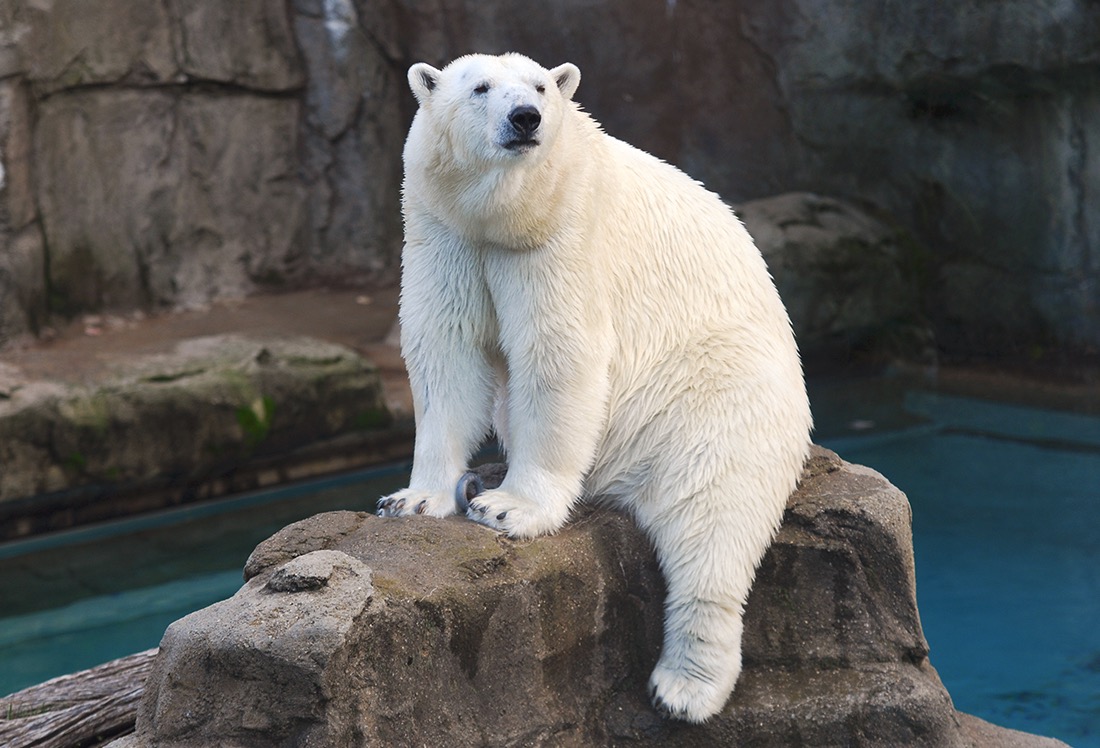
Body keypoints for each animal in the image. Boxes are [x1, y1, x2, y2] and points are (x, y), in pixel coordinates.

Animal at [377, 53, 813, 723]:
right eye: (479, 88)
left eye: (538, 86)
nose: (525, 118)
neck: (506, 212)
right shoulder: (445, 232)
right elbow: (446, 350)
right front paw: (418, 498)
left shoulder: (563, 236)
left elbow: (558, 355)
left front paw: (507, 507)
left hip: (715, 397)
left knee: (713, 520)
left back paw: (684, 686)